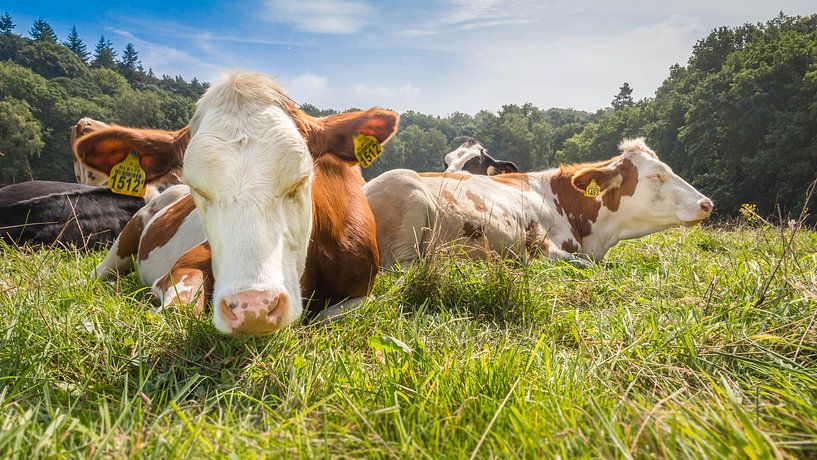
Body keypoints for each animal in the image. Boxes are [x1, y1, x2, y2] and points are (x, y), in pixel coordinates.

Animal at [97, 73, 396, 338]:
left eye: (301, 179)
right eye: (198, 188)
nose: (254, 307)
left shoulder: (363, 289)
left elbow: (330, 316)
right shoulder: (182, 268)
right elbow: (180, 306)